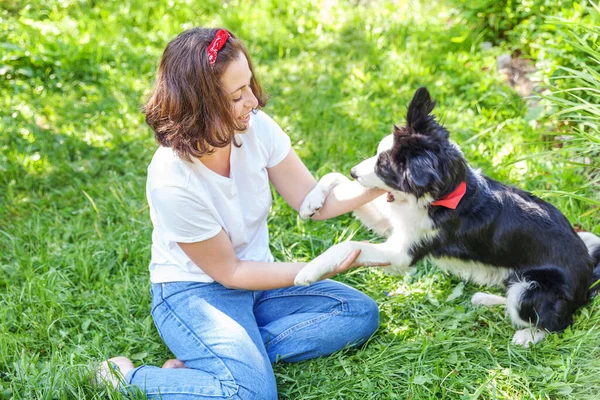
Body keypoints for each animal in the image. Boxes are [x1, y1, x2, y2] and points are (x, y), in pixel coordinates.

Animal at [294, 87, 600, 346]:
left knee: (556, 322)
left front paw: (308, 271)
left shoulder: (403, 253)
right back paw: (487, 299)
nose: (355, 172)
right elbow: (334, 178)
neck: (442, 196)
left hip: (532, 289)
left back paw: (528, 336)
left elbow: (348, 245)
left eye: (382, 166)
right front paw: (311, 201)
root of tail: (589, 278)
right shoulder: (392, 225)